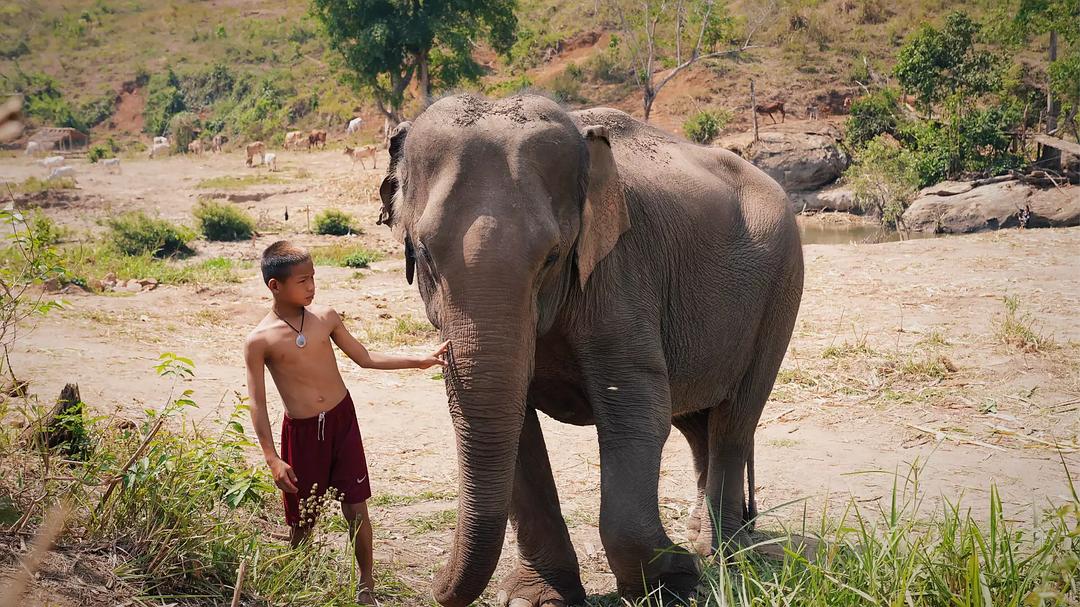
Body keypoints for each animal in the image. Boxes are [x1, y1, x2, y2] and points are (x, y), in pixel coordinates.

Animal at [380, 94, 803, 604]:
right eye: (423, 252)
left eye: (552, 256)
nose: (433, 588)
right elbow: (512, 426)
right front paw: (536, 598)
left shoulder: (620, 273)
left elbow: (637, 408)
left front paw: (676, 580)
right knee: (696, 421)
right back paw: (707, 537)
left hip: (782, 289)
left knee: (735, 420)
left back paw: (721, 552)